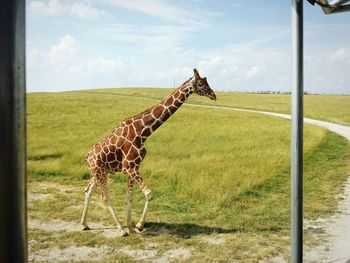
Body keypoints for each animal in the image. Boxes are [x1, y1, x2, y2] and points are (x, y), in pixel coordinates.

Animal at [80, 68, 216, 237]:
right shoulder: (130, 167)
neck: (143, 132)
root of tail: (87, 156)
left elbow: (130, 197)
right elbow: (149, 194)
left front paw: (131, 226)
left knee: (88, 191)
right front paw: (138, 225)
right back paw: (119, 229)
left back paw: (84, 224)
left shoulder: (132, 168)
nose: (214, 95)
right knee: (104, 197)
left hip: (99, 172)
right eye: (201, 83)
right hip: (99, 172)